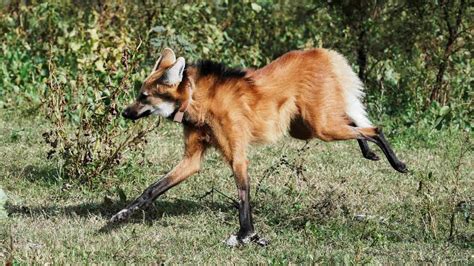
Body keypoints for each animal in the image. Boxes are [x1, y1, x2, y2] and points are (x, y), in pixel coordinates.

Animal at [111, 46, 408, 246]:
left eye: (143, 96)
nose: (124, 113)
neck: (198, 102)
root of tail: (322, 52)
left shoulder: (237, 156)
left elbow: (243, 195)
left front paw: (246, 235)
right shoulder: (192, 160)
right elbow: (152, 189)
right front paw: (121, 214)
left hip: (320, 127)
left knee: (375, 129)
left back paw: (397, 163)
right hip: (306, 128)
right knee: (356, 121)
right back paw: (369, 152)